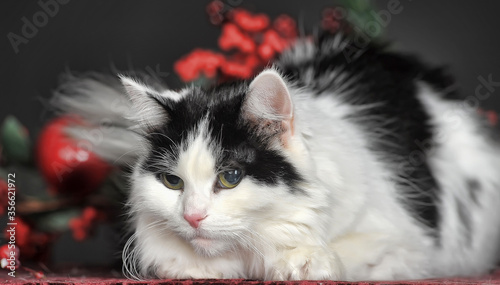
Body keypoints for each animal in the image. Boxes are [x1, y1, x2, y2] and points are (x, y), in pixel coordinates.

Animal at [50, 31, 500, 280]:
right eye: (172, 182)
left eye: (230, 177)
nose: (192, 216)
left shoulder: (409, 245)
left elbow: (348, 253)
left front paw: (301, 262)